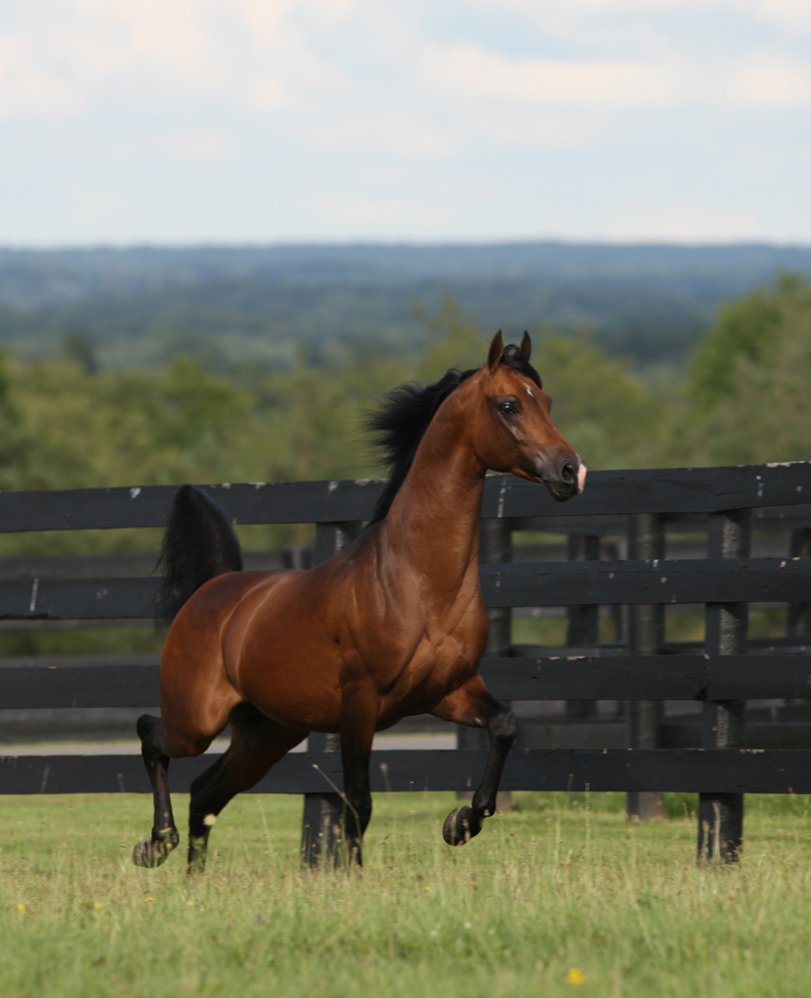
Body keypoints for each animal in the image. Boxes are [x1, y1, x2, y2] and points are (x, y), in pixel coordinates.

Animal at [133, 331, 586, 871]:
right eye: (509, 404)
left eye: (549, 401)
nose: (571, 471)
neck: (416, 583)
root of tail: (211, 591)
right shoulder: (359, 705)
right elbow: (359, 802)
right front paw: (352, 874)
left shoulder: (449, 691)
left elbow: (505, 726)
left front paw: (460, 823)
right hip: (197, 721)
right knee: (151, 736)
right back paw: (155, 843)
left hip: (267, 734)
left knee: (205, 793)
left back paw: (192, 877)